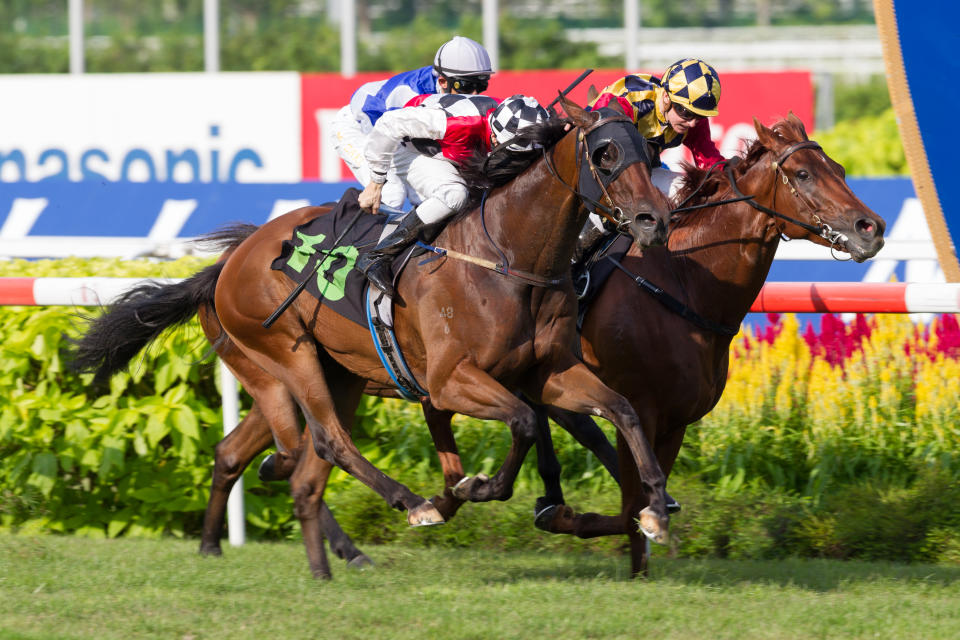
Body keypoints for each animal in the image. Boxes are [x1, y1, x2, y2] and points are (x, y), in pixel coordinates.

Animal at [71, 96, 672, 580]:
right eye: (605, 154)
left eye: (648, 153)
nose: (652, 219)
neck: (508, 258)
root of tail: (230, 262)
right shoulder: (450, 381)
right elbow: (523, 425)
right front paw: (471, 489)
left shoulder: (549, 372)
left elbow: (623, 410)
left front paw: (655, 507)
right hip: (288, 357)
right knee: (326, 442)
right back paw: (405, 503)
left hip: (332, 375)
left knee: (271, 456)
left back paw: (274, 553)